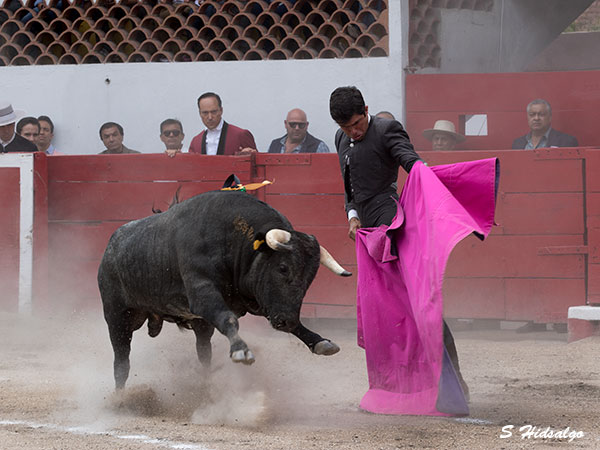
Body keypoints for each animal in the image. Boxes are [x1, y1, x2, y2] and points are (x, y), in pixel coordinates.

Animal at [98, 190, 352, 390]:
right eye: (282, 268)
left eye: (310, 278)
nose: (285, 321)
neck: (231, 240)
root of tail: (111, 245)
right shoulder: (202, 295)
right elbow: (229, 319)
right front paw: (241, 351)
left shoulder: (256, 299)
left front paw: (320, 341)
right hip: (117, 317)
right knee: (121, 361)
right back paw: (120, 399)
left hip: (200, 325)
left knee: (203, 352)